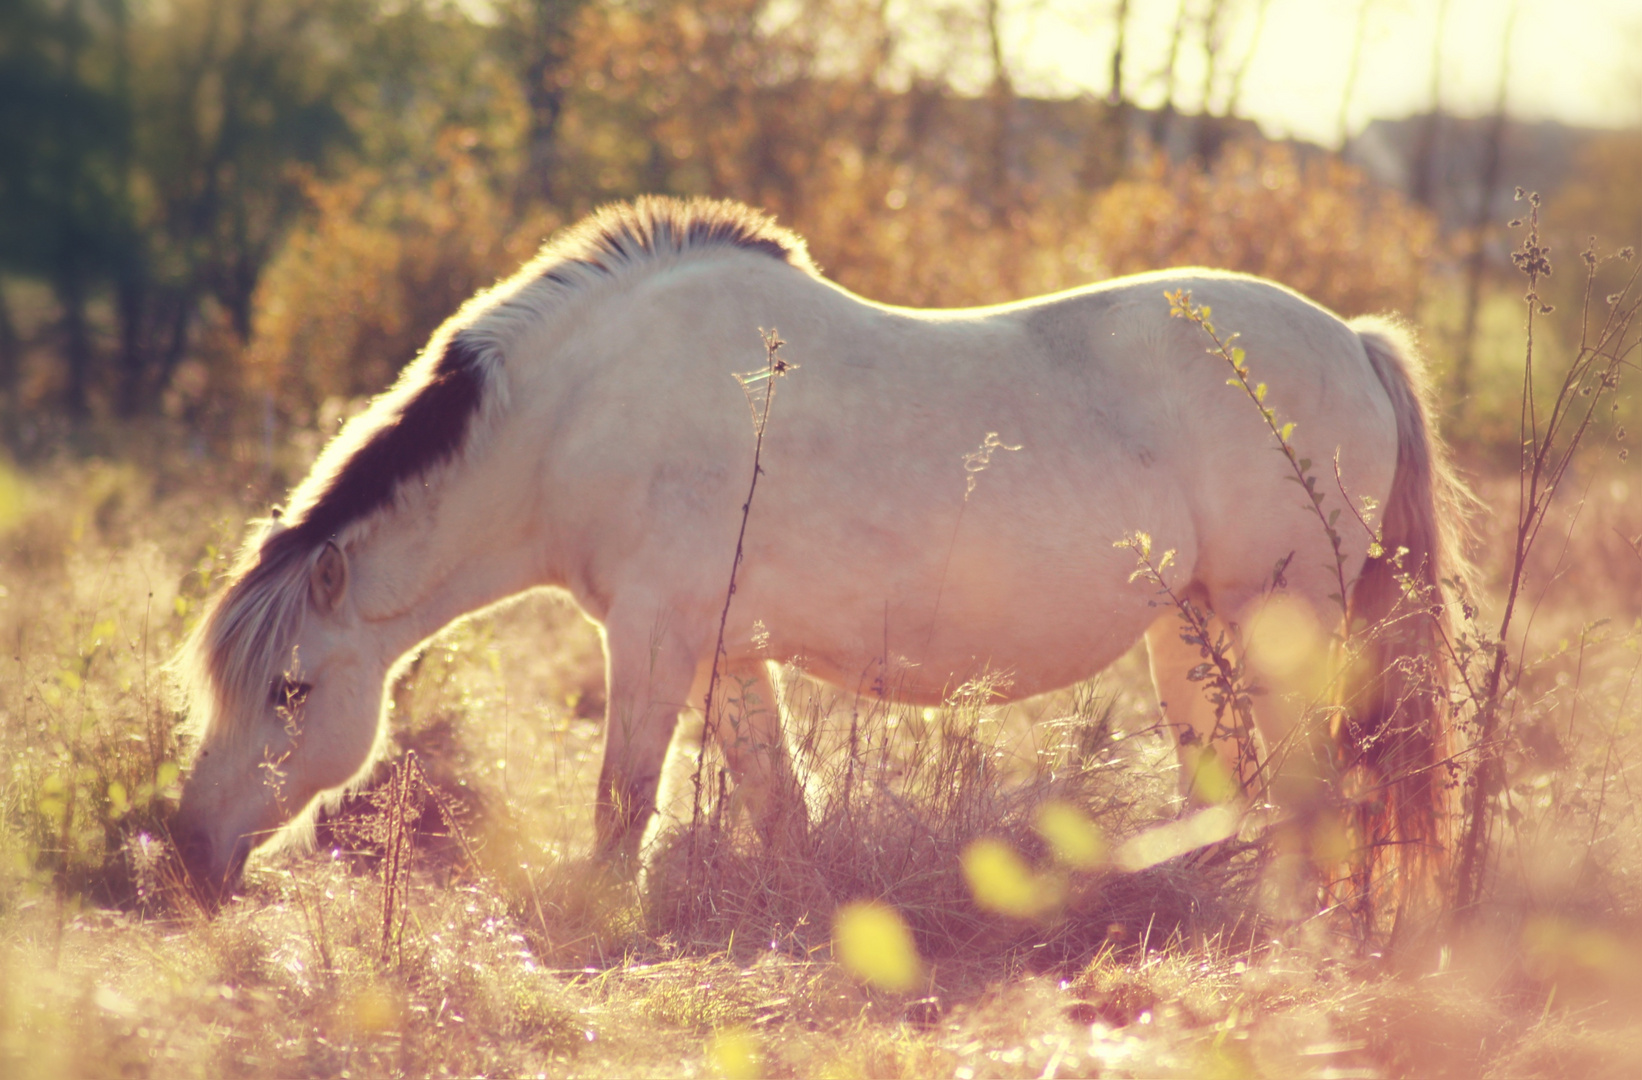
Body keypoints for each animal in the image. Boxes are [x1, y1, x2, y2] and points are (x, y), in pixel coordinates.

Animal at [173, 195, 1471, 899]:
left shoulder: (653, 644)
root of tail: (1353, 340)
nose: (188, 851)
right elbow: (780, 809)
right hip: (1188, 628)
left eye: (290, 690)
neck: (578, 412)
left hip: (1276, 621)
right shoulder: (727, 656)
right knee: (1233, 787)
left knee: (1310, 791)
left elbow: (620, 809)